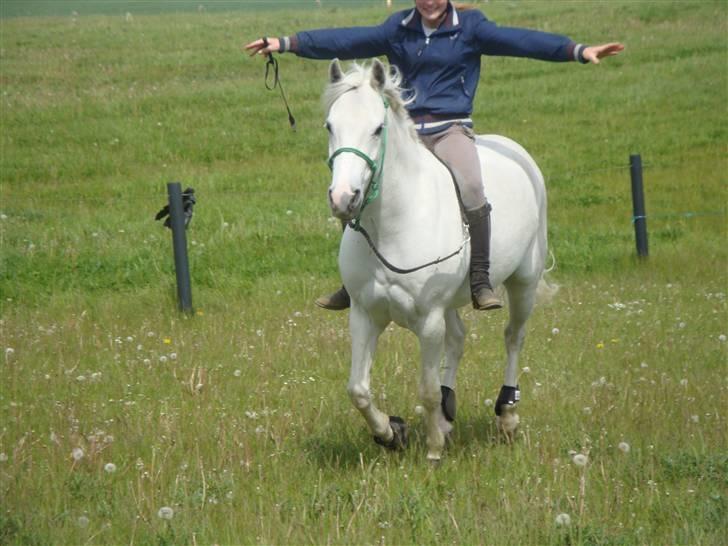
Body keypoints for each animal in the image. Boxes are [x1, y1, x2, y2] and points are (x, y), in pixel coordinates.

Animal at [324, 59, 544, 460]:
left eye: (377, 129)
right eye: (330, 125)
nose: (343, 198)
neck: (394, 224)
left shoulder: (428, 321)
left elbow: (425, 389)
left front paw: (434, 449)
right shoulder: (365, 315)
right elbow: (358, 390)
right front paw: (390, 433)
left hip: (524, 282)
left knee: (513, 337)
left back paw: (506, 415)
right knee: (458, 339)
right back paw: (448, 412)